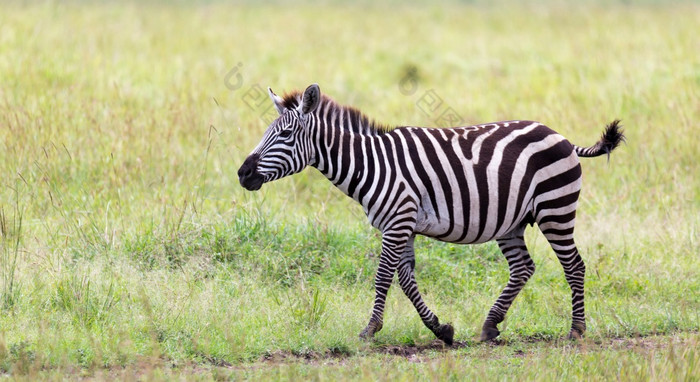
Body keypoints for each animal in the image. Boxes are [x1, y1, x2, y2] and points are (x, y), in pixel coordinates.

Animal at [238, 83, 628, 344]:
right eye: (267, 132)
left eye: (286, 134)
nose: (243, 174)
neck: (371, 164)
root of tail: (560, 136)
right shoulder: (403, 225)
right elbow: (407, 279)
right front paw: (442, 329)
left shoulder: (398, 221)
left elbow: (384, 276)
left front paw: (369, 330)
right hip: (512, 222)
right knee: (523, 267)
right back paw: (490, 325)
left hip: (555, 209)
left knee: (574, 266)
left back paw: (576, 330)